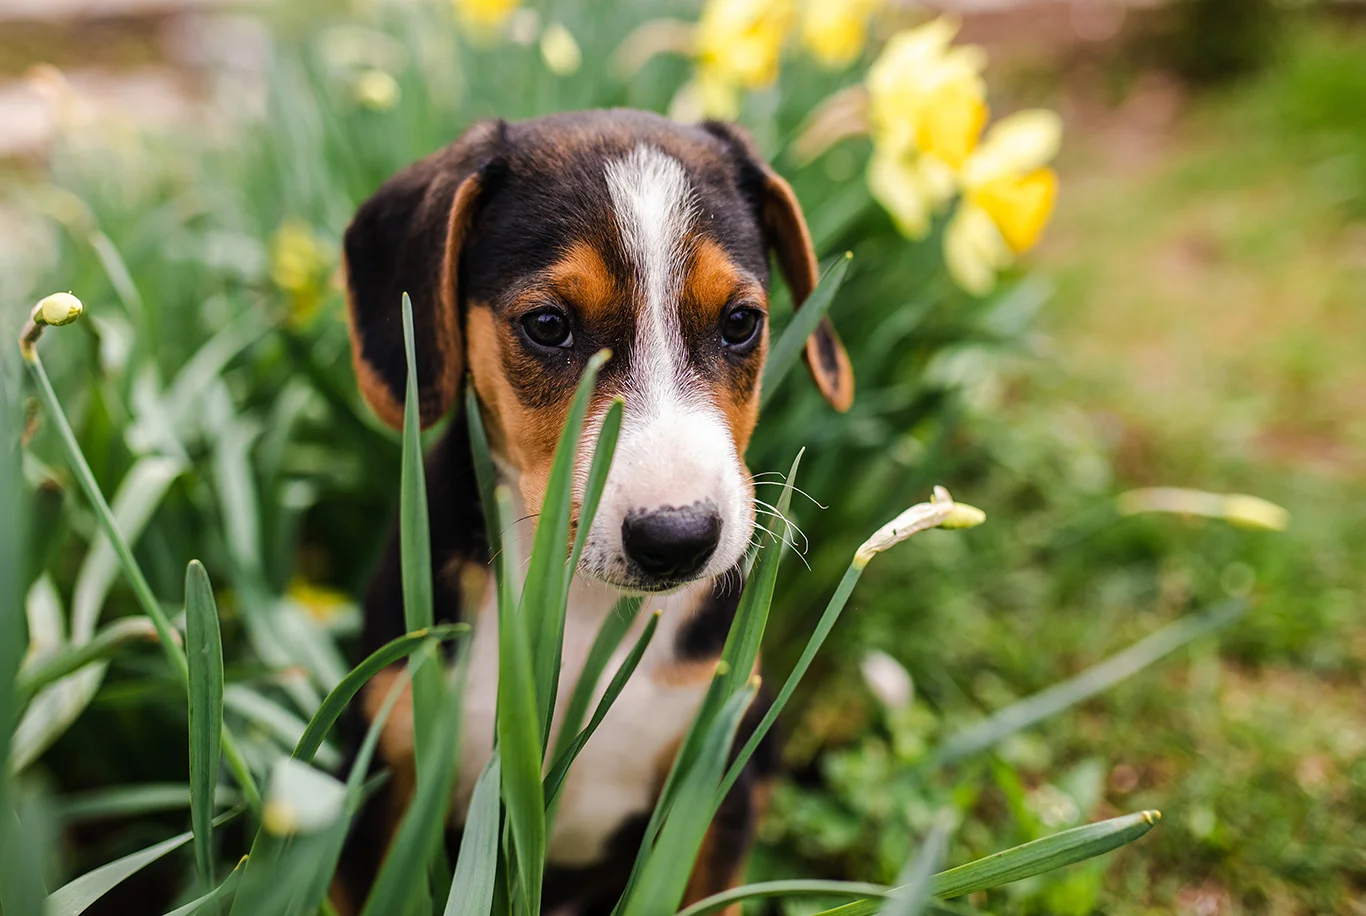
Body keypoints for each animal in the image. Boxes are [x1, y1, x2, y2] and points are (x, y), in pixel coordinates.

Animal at [334, 109, 852, 916]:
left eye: (741, 322)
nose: (678, 538)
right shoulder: (381, 789)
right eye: (549, 326)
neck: (580, 609)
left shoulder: (714, 789)